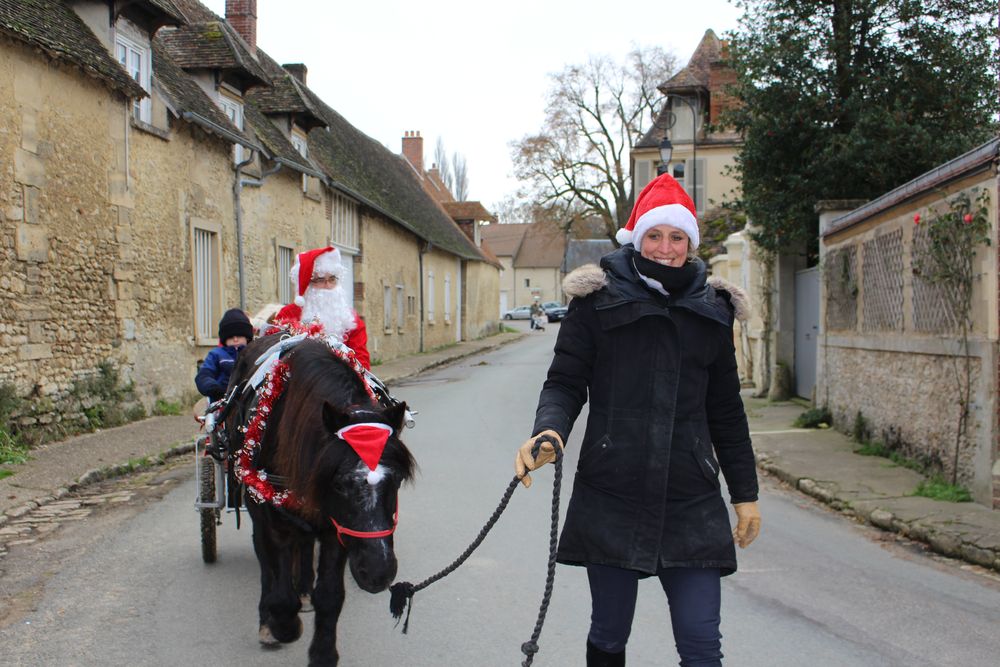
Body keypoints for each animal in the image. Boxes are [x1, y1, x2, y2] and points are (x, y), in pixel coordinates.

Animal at [229, 336, 416, 664]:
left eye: (395, 480)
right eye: (340, 484)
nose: (378, 572)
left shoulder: (335, 527)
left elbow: (330, 595)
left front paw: (323, 653)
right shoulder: (274, 516)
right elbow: (280, 588)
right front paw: (283, 624)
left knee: (304, 546)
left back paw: (304, 589)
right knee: (266, 562)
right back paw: (270, 620)